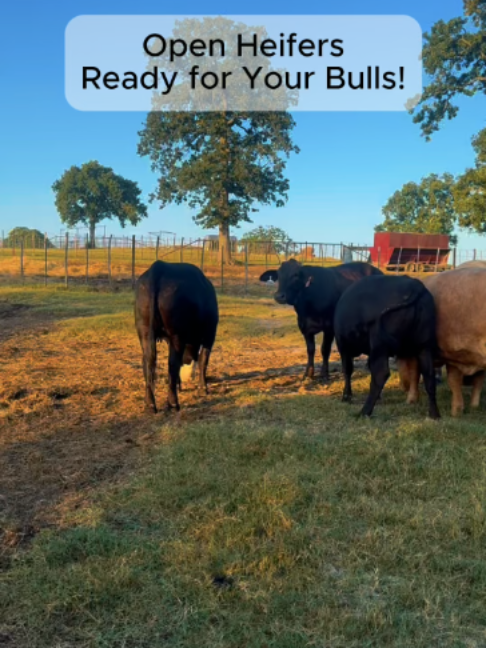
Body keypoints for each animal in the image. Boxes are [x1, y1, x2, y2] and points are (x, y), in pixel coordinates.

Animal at [134, 261, 219, 413]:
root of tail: (159, 266)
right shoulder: (210, 335)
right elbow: (203, 360)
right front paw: (203, 388)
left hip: (145, 332)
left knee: (148, 362)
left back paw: (150, 403)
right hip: (176, 335)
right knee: (172, 363)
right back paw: (173, 403)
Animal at [334, 275, 440, 419]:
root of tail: (415, 285)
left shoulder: (343, 345)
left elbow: (347, 370)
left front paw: (346, 396)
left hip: (380, 345)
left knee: (380, 374)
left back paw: (364, 411)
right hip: (424, 345)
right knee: (429, 375)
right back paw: (434, 414)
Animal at [397, 267, 486, 416]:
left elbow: (478, 383)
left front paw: (474, 406)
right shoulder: (453, 356)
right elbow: (454, 381)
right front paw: (456, 411)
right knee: (414, 375)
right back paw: (411, 400)